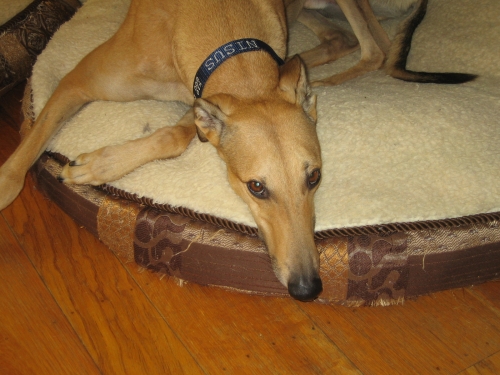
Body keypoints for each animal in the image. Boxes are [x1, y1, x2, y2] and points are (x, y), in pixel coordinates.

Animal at [0, 0, 476, 302]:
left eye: (315, 177)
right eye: (256, 187)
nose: (308, 288)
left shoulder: (199, 101)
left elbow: (175, 134)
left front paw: (98, 165)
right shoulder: (79, 80)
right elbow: (22, 160)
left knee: (369, 45)